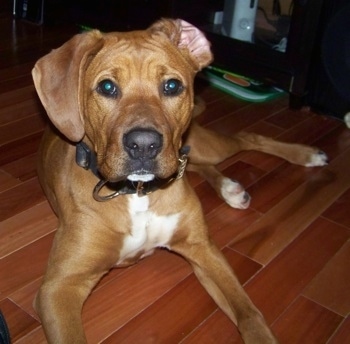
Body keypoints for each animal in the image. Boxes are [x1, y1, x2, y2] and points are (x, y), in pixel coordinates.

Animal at [31, 18, 326, 344]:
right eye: (107, 87)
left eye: (171, 86)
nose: (144, 145)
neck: (138, 194)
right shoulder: (59, 288)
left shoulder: (203, 250)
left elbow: (249, 313)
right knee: (203, 164)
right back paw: (231, 188)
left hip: (202, 144)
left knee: (246, 138)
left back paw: (305, 155)